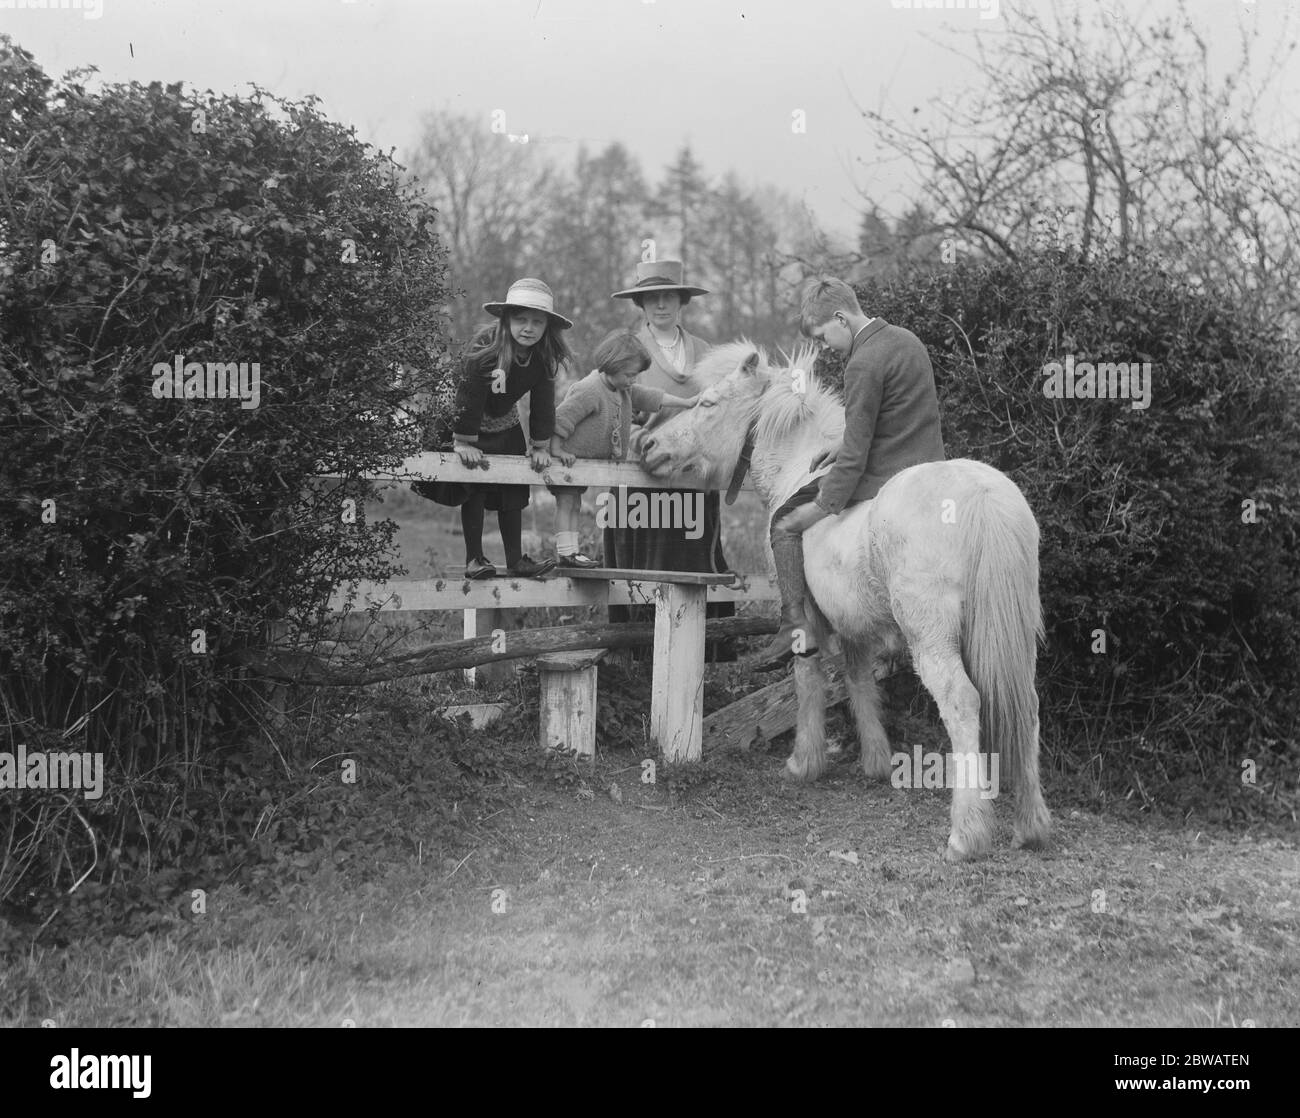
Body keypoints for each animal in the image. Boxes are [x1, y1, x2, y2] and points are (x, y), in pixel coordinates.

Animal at [642, 343, 1055, 863]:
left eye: (709, 403)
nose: (647, 445)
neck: (802, 465)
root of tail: (982, 497)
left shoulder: (812, 622)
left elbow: (807, 679)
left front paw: (805, 761)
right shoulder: (855, 622)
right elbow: (859, 680)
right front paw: (876, 760)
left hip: (932, 639)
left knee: (962, 703)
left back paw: (966, 834)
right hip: (1015, 637)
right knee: (1028, 706)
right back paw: (1031, 825)